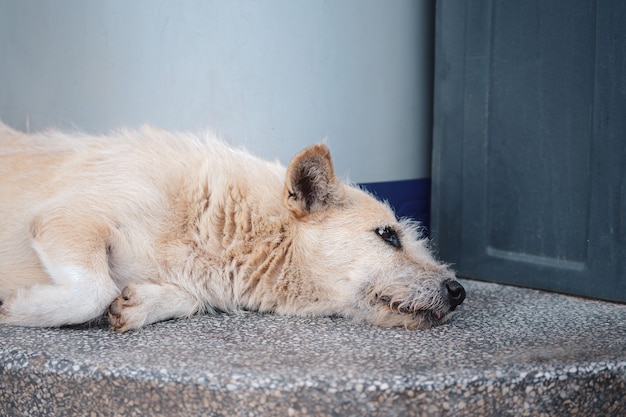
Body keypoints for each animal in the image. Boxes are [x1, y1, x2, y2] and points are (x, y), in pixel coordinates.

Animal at [0, 123, 460, 332]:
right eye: (388, 235)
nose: (459, 291)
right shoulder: (66, 217)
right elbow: (93, 291)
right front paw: (18, 309)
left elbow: (186, 298)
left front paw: (140, 302)